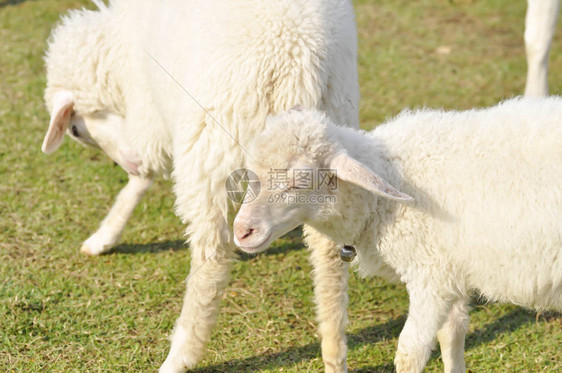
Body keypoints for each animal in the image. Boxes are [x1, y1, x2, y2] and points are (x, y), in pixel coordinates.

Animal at [42, 1, 358, 370]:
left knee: (213, 256)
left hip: (207, 146)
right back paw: (334, 353)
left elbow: (143, 176)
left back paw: (179, 355)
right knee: (329, 255)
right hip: (327, 137)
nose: (130, 162)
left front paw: (104, 234)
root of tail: (296, 64)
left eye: (75, 129)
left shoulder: (151, 112)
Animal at [232, 98, 560, 372]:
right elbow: (452, 334)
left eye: (301, 180)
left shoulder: (431, 277)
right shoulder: (450, 272)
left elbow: (409, 353)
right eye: (251, 172)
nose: (242, 231)